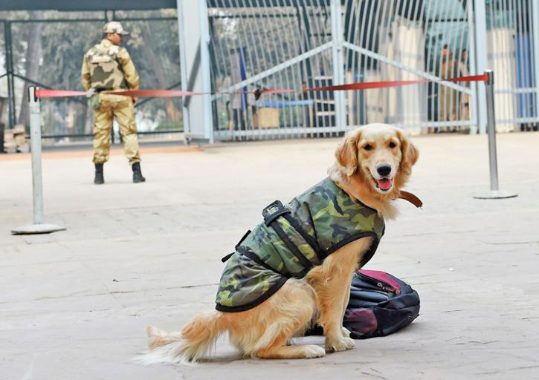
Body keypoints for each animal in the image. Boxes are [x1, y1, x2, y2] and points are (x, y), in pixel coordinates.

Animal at [144, 123, 422, 364]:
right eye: (367, 147)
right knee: (260, 350)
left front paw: (341, 333)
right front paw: (335, 341)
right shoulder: (332, 271)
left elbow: (342, 304)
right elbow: (334, 309)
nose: (384, 169)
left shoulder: (347, 269)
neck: (354, 189)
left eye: (392, 144)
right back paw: (307, 349)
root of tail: (222, 315)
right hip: (300, 292)